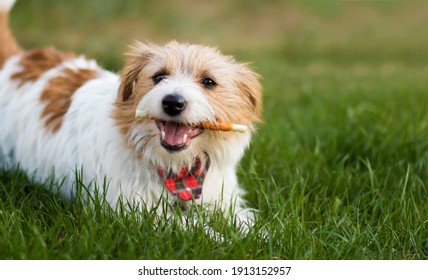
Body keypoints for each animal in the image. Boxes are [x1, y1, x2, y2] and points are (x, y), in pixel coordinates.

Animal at [0, 0, 262, 230]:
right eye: (159, 76)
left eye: (208, 82)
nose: (172, 102)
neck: (178, 170)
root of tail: (17, 59)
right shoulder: (138, 212)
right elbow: (202, 231)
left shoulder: (223, 201)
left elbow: (247, 225)